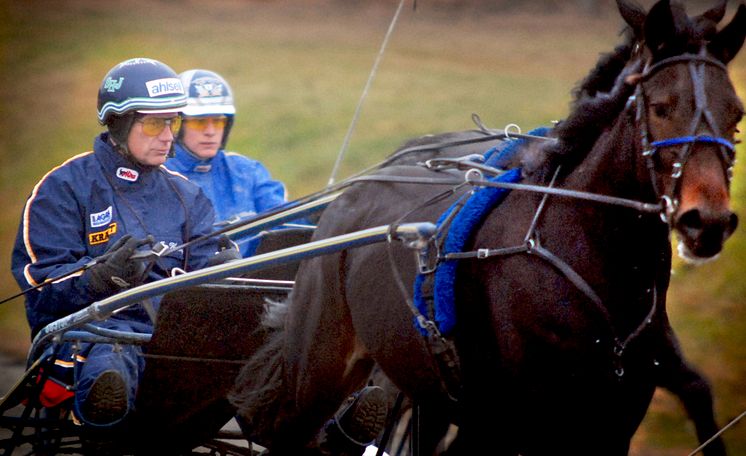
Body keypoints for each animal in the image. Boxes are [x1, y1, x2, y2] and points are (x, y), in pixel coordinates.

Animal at [230, 1, 740, 454]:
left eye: (736, 114)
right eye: (661, 106)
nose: (707, 220)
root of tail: (349, 195)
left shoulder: (616, 407)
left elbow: (697, 391)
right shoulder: (524, 414)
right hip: (319, 367)